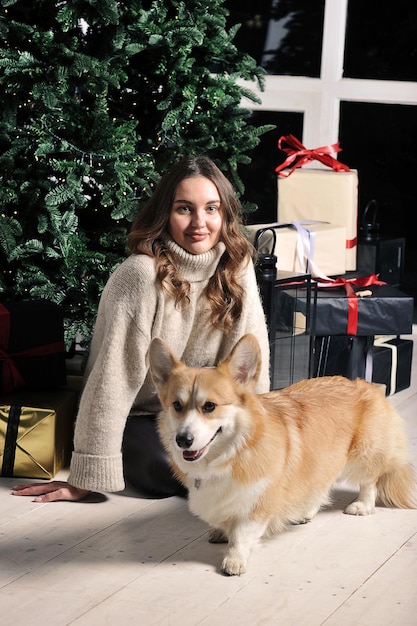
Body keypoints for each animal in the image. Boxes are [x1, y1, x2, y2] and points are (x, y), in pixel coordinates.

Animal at [148, 334, 414, 572]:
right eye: (177, 405)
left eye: (210, 406)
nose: (183, 440)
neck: (233, 451)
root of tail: (365, 384)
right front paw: (222, 532)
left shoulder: (260, 501)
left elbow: (242, 533)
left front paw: (234, 559)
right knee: (321, 482)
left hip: (364, 455)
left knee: (370, 481)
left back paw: (362, 505)